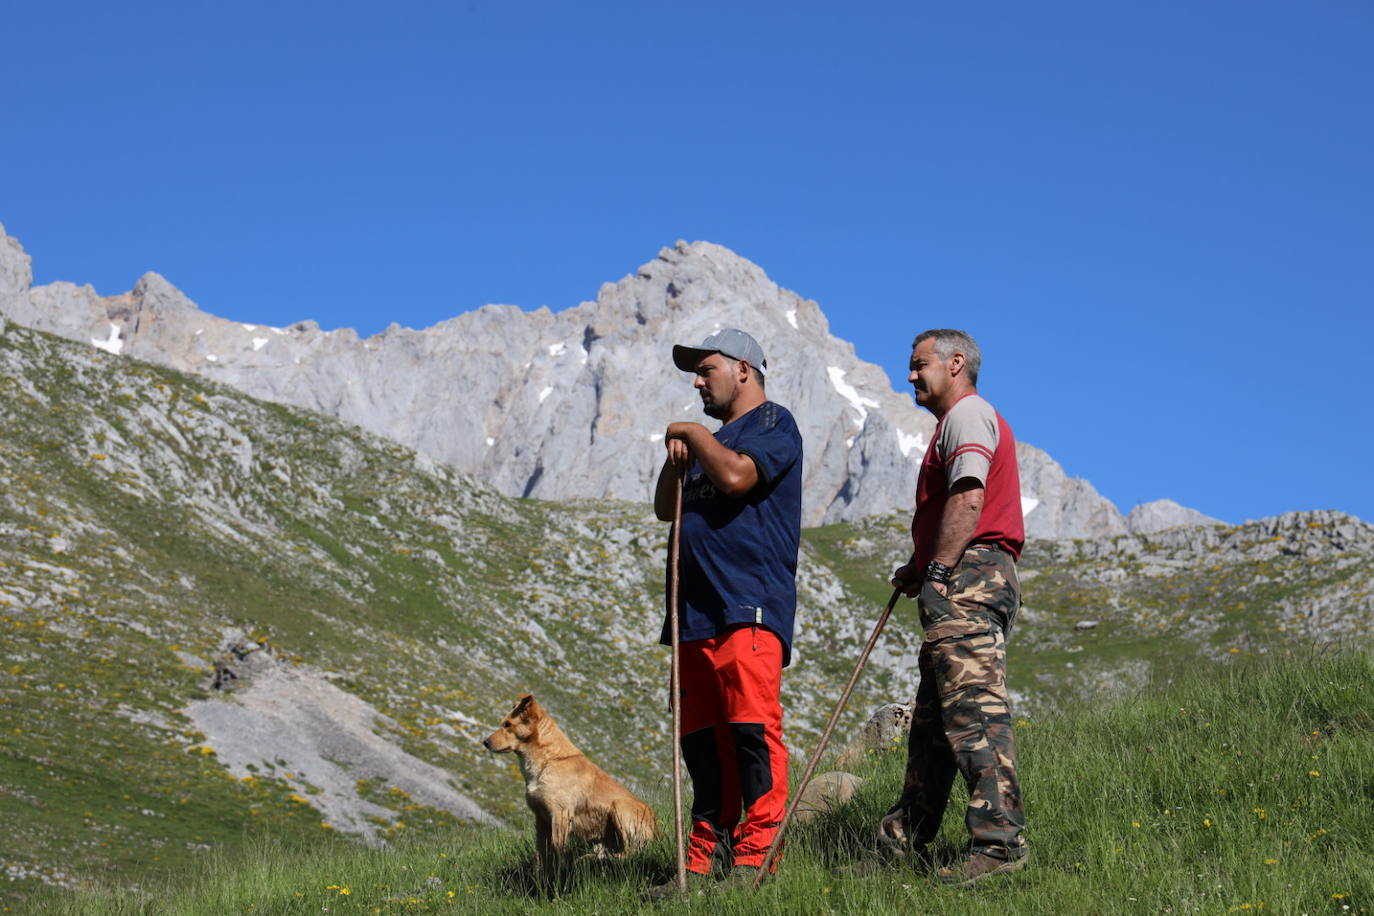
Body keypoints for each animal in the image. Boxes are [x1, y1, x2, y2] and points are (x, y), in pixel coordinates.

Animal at [483, 694, 654, 873]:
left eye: (508, 724)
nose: (485, 742)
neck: (549, 761)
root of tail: (656, 830)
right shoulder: (540, 819)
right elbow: (541, 853)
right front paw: (541, 874)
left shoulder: (560, 815)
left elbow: (557, 851)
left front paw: (559, 874)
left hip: (619, 806)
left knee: (630, 852)